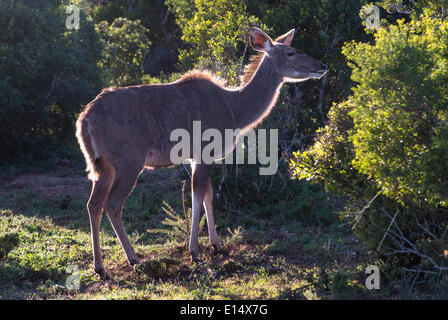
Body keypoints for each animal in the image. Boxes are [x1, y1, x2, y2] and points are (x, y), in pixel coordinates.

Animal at [75, 27, 328, 278]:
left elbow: (208, 196)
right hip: (129, 164)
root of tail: (85, 119)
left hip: (103, 168)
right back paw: (134, 259)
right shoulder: (205, 153)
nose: (322, 66)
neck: (235, 108)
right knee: (113, 204)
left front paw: (217, 245)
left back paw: (100, 267)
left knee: (93, 204)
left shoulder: (197, 158)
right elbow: (197, 197)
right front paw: (195, 251)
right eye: (291, 52)